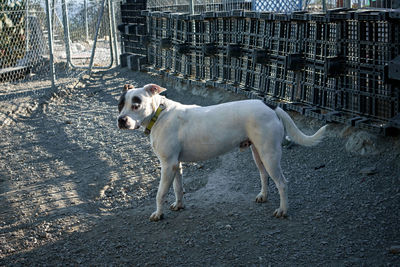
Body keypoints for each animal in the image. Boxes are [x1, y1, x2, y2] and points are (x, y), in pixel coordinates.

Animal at [117, 84, 326, 222]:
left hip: (270, 155)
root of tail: (270, 106)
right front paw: (179, 205)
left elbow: (160, 193)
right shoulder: (175, 164)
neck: (160, 114)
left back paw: (282, 210)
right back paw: (263, 196)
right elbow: (177, 187)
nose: (121, 120)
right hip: (259, 154)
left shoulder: (167, 165)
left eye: (136, 104)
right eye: (120, 105)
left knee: (282, 183)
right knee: (264, 175)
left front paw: (158, 214)